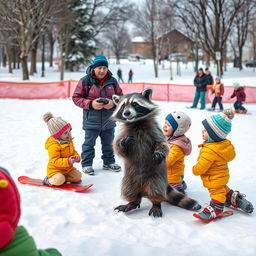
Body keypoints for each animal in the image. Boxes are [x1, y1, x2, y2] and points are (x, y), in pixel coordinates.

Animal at [112, 89, 202, 217]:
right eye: (123, 106)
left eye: (135, 104)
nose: (127, 113)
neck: (137, 123)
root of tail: (143, 189)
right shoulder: (125, 133)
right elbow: (119, 149)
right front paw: (122, 144)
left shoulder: (155, 131)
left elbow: (162, 144)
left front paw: (159, 152)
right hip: (130, 177)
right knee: (129, 188)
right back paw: (132, 202)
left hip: (156, 176)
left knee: (155, 188)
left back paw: (156, 204)